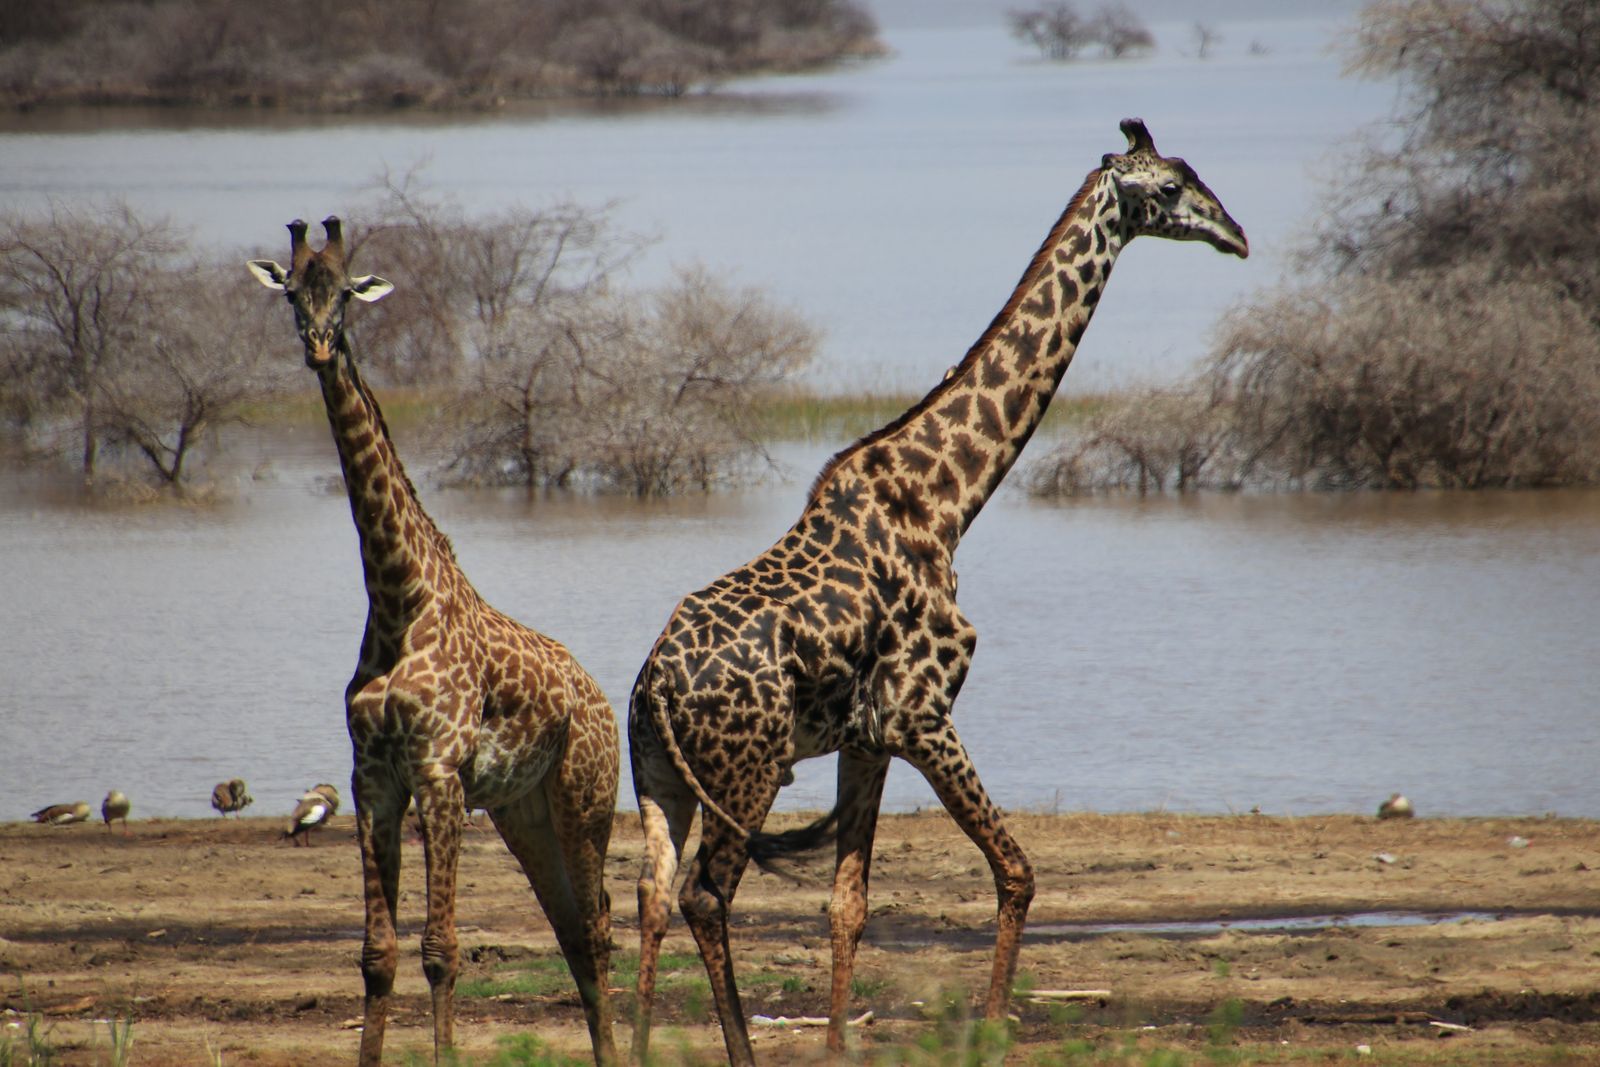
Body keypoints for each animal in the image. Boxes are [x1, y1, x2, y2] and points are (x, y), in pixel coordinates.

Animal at [248, 219, 617, 1067]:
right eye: (292, 292)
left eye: (347, 295)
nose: (319, 345)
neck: (395, 597)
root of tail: (601, 697)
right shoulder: (373, 776)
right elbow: (377, 954)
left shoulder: (439, 769)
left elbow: (442, 949)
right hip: (526, 811)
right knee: (573, 930)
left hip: (586, 798)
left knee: (599, 927)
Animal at [627, 120, 1248, 1062]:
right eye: (1172, 188)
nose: (1237, 234)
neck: (948, 499)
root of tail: (656, 685)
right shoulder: (923, 713)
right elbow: (1017, 871)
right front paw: (988, 1030)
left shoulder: (868, 737)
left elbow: (847, 906)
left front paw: (838, 1045)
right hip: (746, 774)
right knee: (706, 896)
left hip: (661, 781)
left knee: (650, 897)